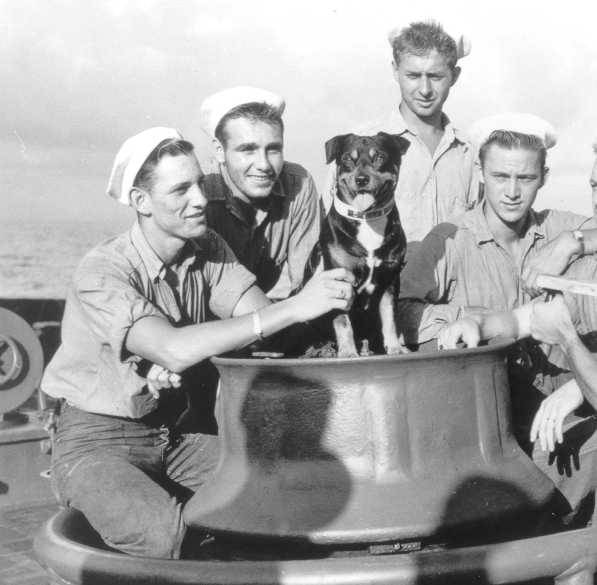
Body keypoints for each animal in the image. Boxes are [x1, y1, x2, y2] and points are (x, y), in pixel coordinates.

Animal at [314, 133, 408, 356]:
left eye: (379, 157)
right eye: (348, 158)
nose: (362, 179)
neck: (367, 219)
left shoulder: (389, 279)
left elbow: (389, 318)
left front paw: (394, 348)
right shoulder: (339, 278)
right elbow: (343, 322)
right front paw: (348, 352)